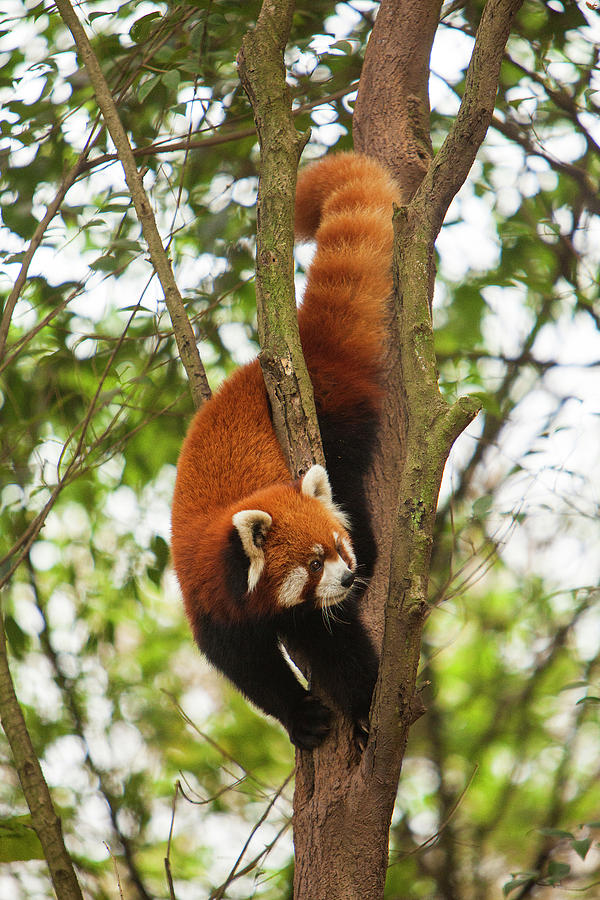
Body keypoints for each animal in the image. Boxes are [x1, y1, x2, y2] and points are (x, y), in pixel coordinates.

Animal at [171, 151, 398, 748]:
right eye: (315, 562)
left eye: (337, 547)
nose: (348, 576)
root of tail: (307, 354)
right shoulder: (212, 604)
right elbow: (247, 669)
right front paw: (300, 715)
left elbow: (336, 643)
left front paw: (364, 704)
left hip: (337, 424)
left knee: (346, 478)